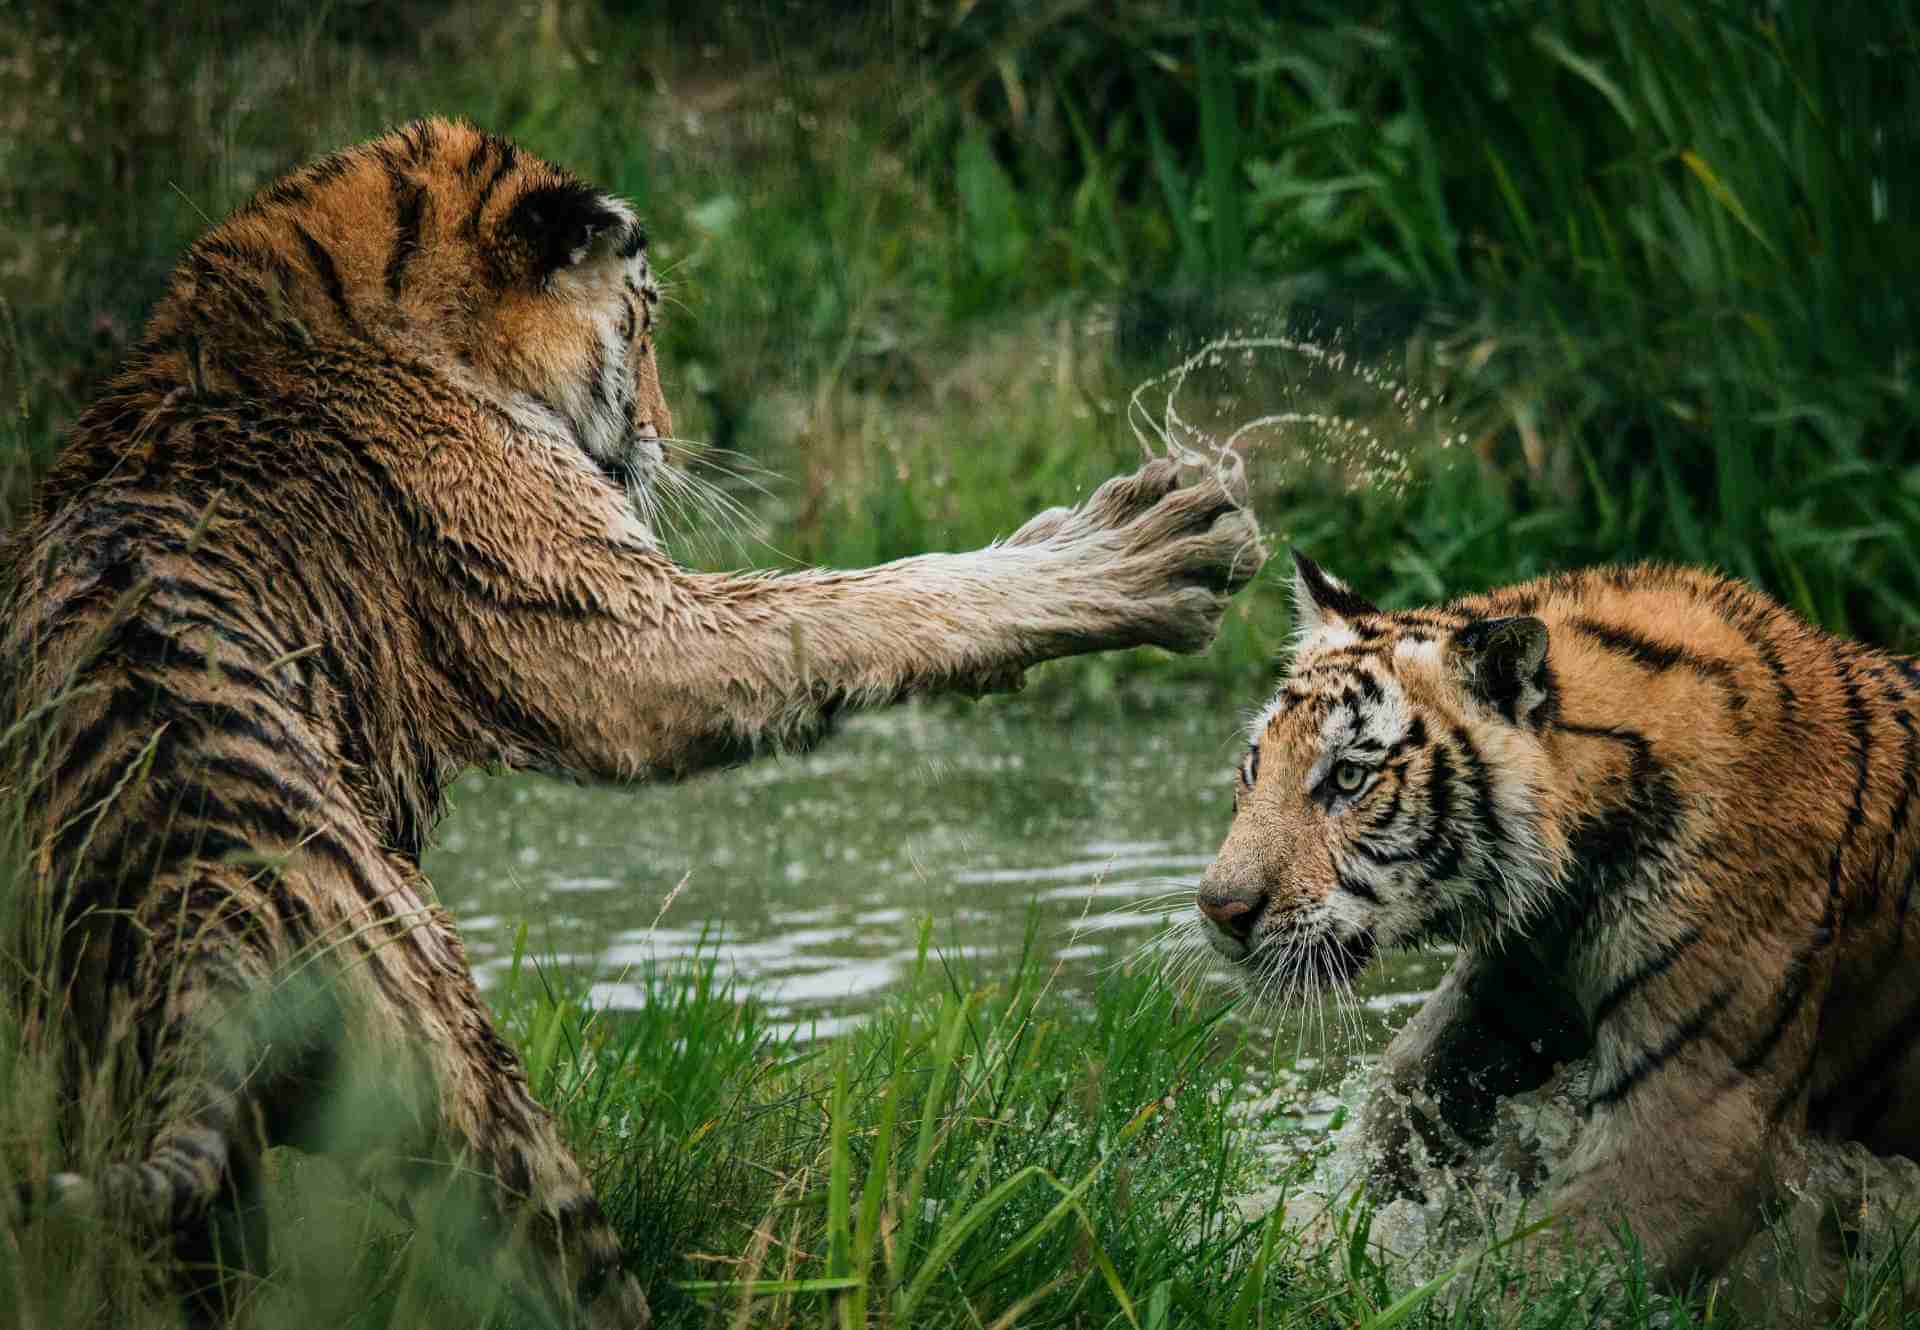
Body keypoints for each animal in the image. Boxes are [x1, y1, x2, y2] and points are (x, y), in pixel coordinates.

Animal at [3, 119, 1274, 1320]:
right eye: (647, 319)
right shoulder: (622, 631)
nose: (663, 433)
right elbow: (867, 601)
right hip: (464, 1088)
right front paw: (1144, 550)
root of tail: (197, 909)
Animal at [1190, 548, 1920, 1289]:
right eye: (1255, 768)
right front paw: (1267, 1235)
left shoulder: (1700, 1121)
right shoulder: (1512, 988)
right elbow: (1401, 1098)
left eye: (1347, 778)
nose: (1219, 907)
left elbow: (1533, 1274)